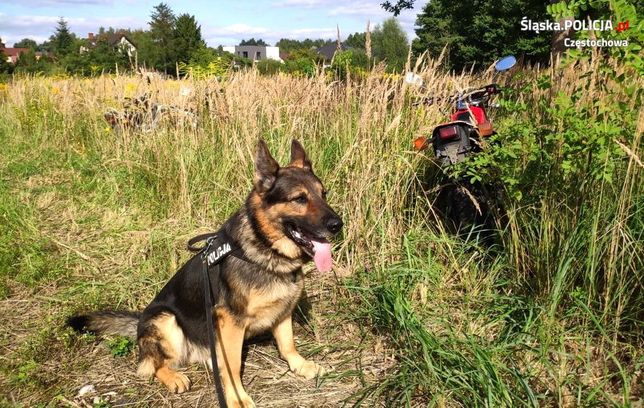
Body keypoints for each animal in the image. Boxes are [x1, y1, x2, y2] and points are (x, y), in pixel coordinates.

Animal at [68, 140, 342, 408]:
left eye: (323, 194)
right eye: (299, 199)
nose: (338, 225)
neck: (264, 248)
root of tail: (138, 325)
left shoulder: (283, 310)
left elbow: (287, 344)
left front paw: (300, 365)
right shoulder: (231, 321)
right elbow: (233, 365)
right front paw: (237, 397)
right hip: (167, 320)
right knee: (151, 365)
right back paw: (174, 377)